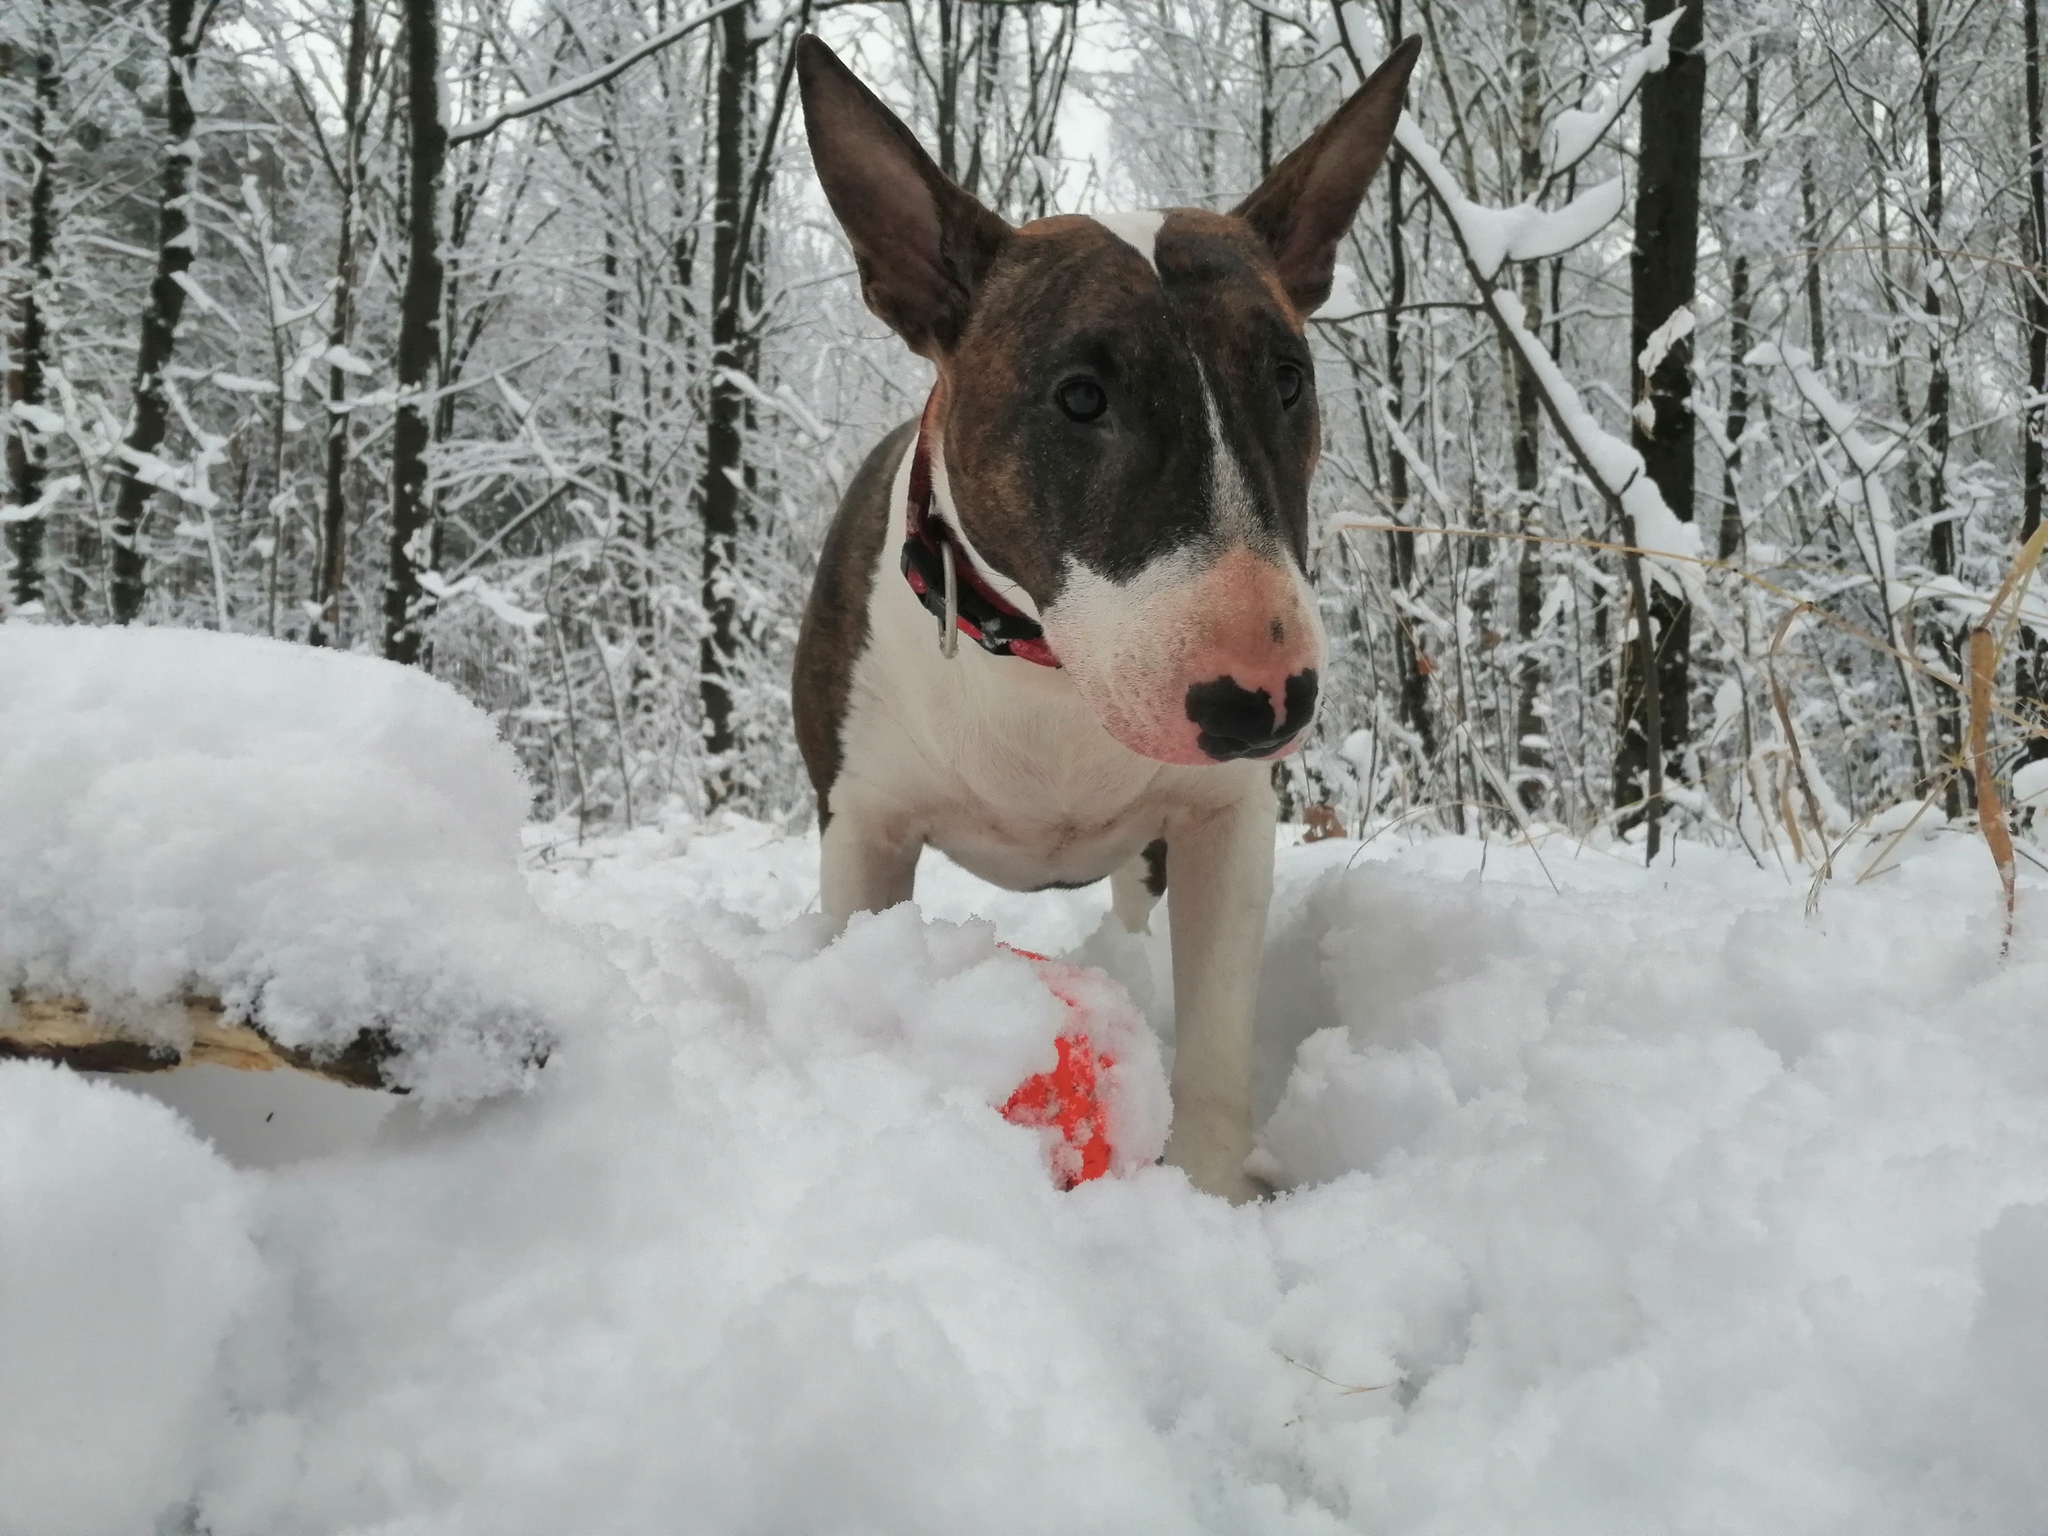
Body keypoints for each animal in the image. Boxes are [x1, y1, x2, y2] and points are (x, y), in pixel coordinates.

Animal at [790, 30, 1417, 1196]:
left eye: (1288, 377)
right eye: (1080, 396)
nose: (1265, 701)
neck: (1045, 674)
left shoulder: (1224, 824)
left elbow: (1215, 1035)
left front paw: (1207, 1192)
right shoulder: (863, 828)